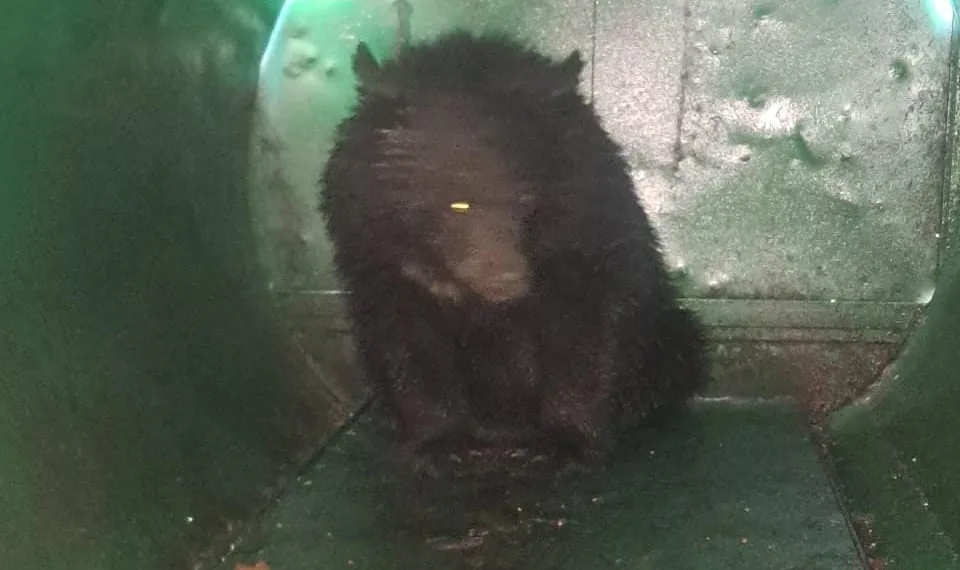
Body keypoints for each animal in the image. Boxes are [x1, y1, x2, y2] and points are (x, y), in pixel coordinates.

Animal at [319, 30, 708, 478]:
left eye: (525, 197)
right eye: (458, 203)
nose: (508, 279)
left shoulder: (584, 230)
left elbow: (586, 330)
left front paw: (564, 443)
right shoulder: (376, 251)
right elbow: (408, 343)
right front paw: (441, 444)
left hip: (666, 332)